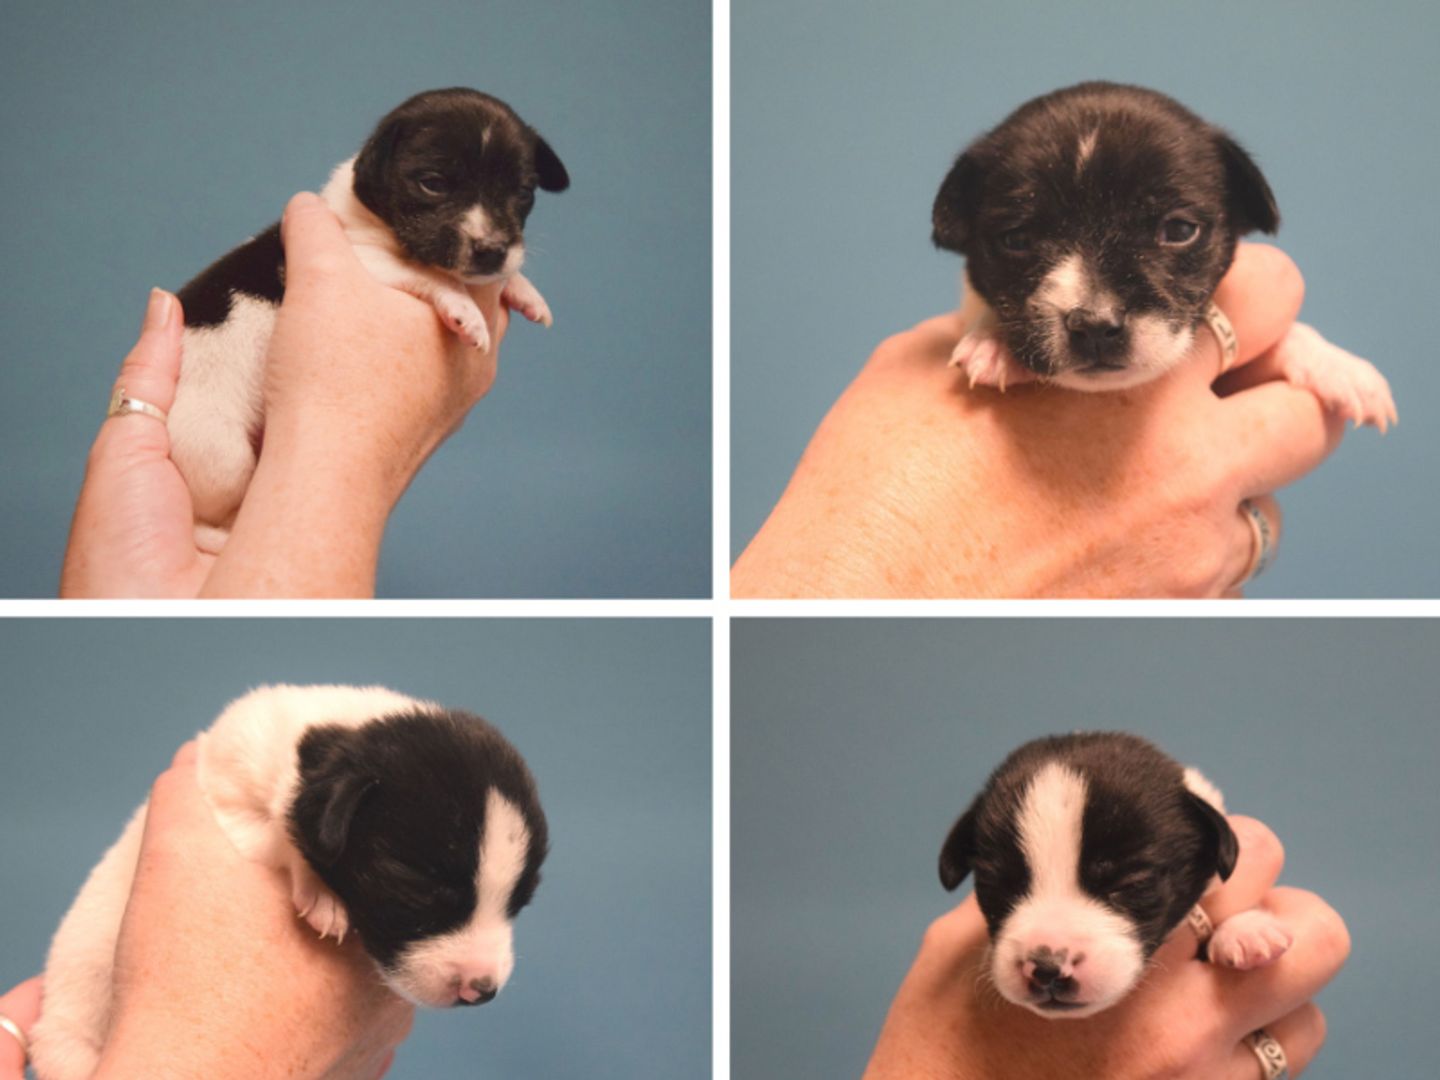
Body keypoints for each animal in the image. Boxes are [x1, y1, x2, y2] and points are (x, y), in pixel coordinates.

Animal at [35, 685, 550, 1080]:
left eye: (521, 901)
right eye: (417, 887)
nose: (482, 989)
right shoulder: (230, 790)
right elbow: (280, 835)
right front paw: (321, 894)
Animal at [168, 88, 567, 552]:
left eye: (523, 192)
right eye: (433, 183)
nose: (492, 250)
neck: (375, 219)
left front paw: (523, 289)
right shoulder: (364, 257)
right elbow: (432, 274)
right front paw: (465, 310)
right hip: (220, 451)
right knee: (201, 518)